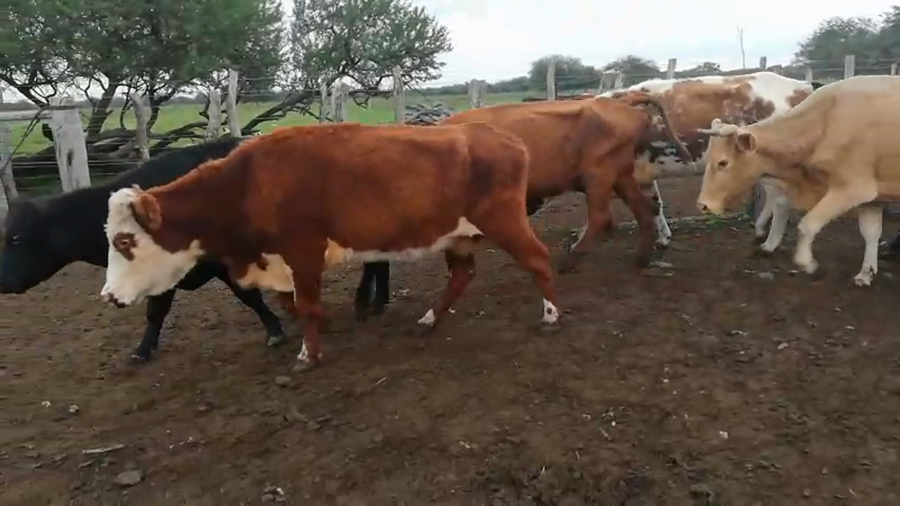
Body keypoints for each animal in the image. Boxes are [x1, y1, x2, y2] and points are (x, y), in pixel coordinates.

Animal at [0, 138, 287, 363]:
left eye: (16, 238)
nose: (3, 282)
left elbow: (249, 296)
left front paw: (275, 331)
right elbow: (155, 313)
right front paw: (143, 350)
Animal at [98, 121, 561, 371]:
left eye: (125, 240)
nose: (108, 296)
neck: (249, 182)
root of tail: (502, 138)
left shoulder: (303, 249)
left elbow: (303, 304)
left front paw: (309, 353)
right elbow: (294, 303)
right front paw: (328, 324)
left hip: (504, 221)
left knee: (539, 259)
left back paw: (551, 315)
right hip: (457, 236)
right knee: (462, 275)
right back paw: (429, 319)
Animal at [599, 71, 822, 255]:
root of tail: (802, 86)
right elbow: (656, 205)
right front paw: (663, 238)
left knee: (781, 202)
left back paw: (769, 244)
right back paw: (760, 231)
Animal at [696, 75, 900, 286]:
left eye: (723, 162)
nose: (703, 205)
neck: (825, 122)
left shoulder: (852, 189)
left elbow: (806, 226)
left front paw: (808, 264)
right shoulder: (872, 198)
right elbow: (871, 234)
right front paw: (866, 273)